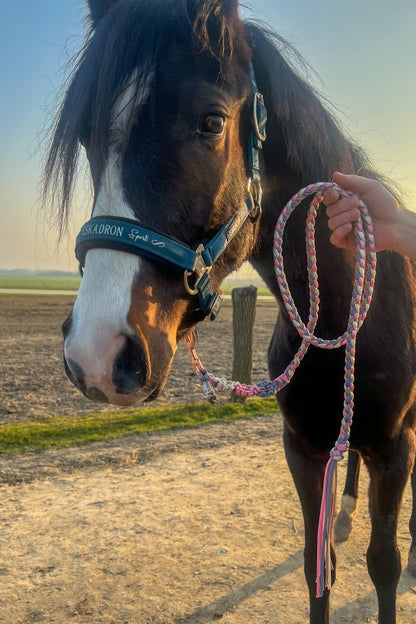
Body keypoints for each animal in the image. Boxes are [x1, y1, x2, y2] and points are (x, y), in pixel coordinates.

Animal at [43, 1, 416, 624]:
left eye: (212, 122)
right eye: (87, 139)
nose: (96, 355)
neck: (344, 320)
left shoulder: (395, 448)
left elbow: (383, 565)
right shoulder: (304, 447)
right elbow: (319, 567)